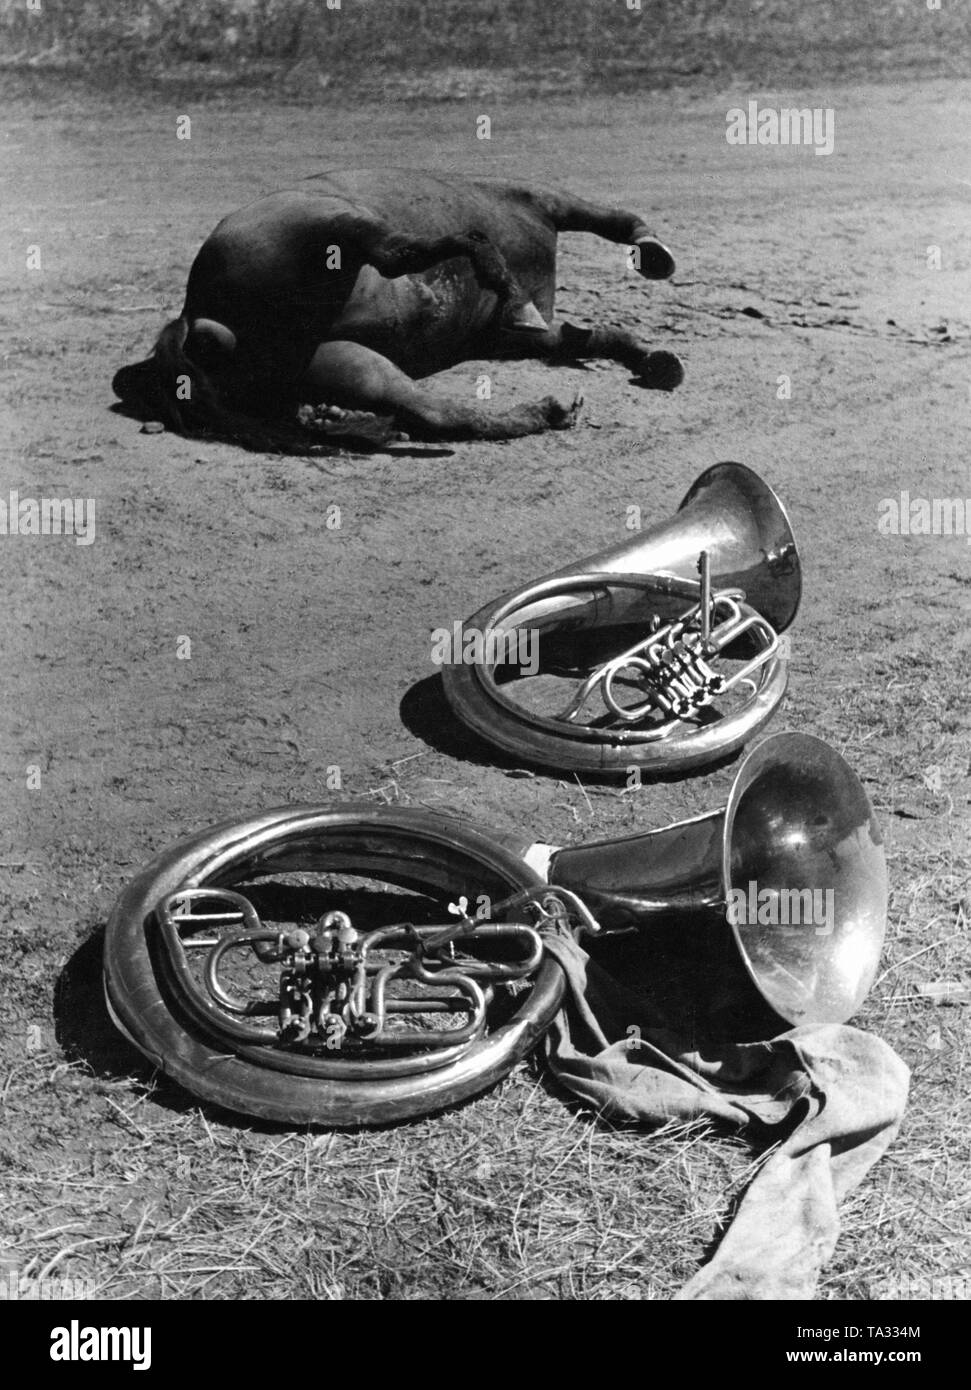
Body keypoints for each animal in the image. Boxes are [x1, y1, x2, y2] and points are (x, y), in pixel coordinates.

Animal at [113, 166, 683, 444]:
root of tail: (194, 314)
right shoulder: (546, 200)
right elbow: (612, 219)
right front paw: (651, 251)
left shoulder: (517, 335)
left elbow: (591, 336)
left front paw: (654, 360)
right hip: (331, 221)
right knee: (395, 255)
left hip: (346, 362)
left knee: (432, 413)